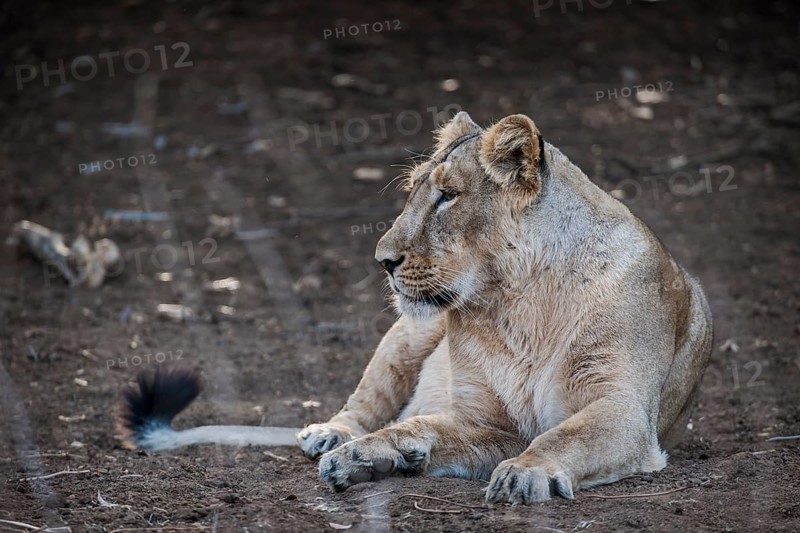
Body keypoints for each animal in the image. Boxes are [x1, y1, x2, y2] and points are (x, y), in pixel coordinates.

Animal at [118, 112, 712, 505]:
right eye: (413, 190)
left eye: (448, 195)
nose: (382, 259)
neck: (517, 299)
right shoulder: (483, 417)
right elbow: (430, 423)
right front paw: (361, 455)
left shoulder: (622, 412)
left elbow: (563, 434)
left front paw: (524, 472)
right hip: (407, 333)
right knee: (370, 402)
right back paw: (335, 437)